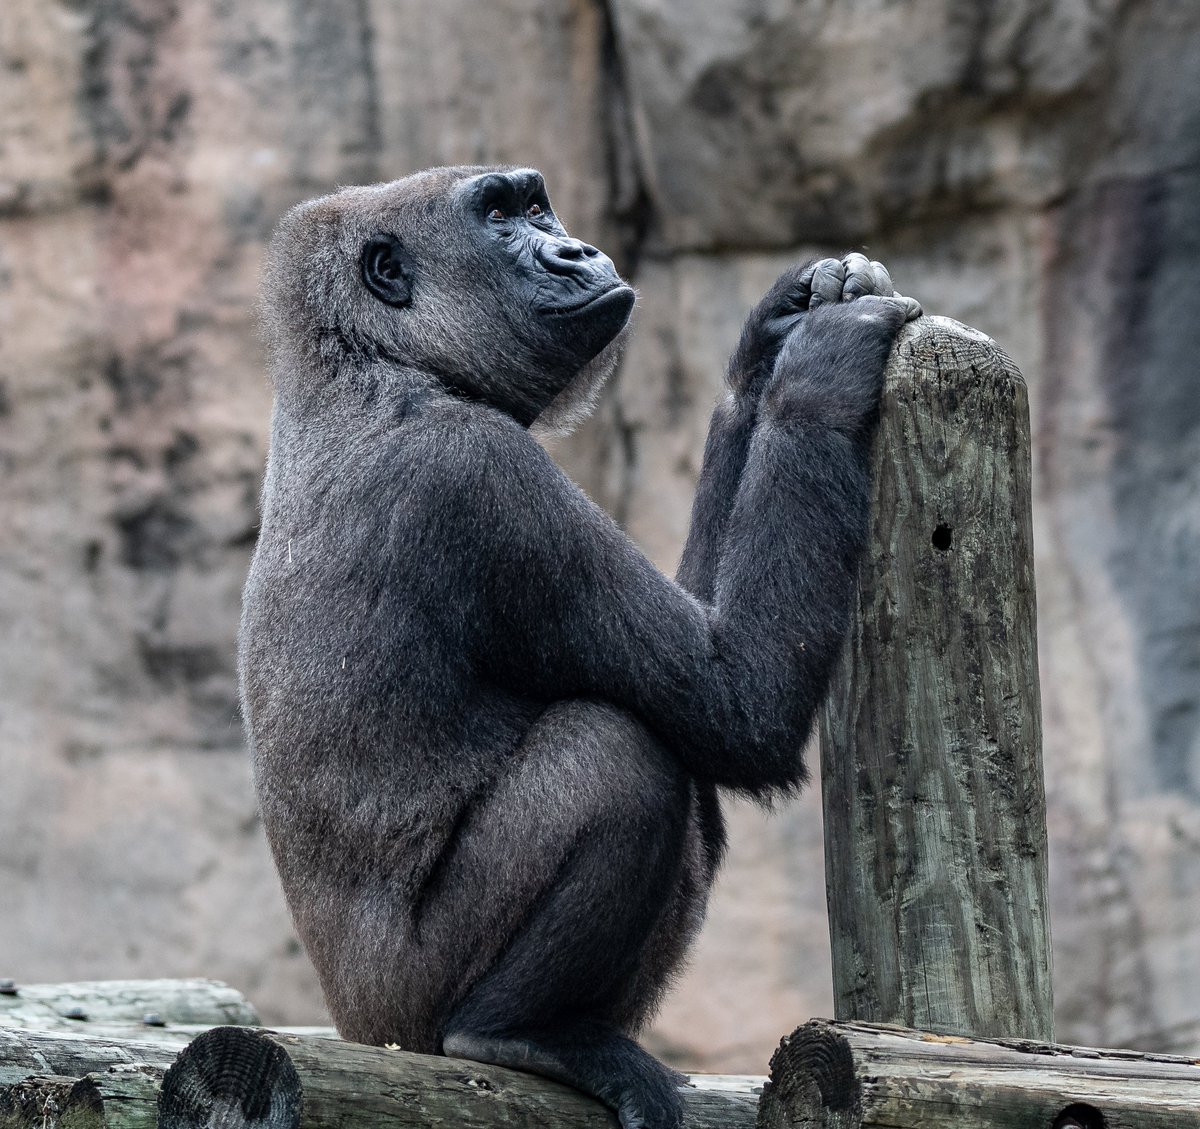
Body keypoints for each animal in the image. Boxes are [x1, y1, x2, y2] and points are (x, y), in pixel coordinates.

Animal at [239, 164, 919, 1129]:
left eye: (537, 205)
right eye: (498, 215)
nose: (576, 249)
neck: (366, 359)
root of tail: (359, 1029)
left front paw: (770, 341)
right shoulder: (482, 476)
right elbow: (737, 700)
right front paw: (821, 366)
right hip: (411, 1008)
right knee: (619, 751)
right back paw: (510, 1031)